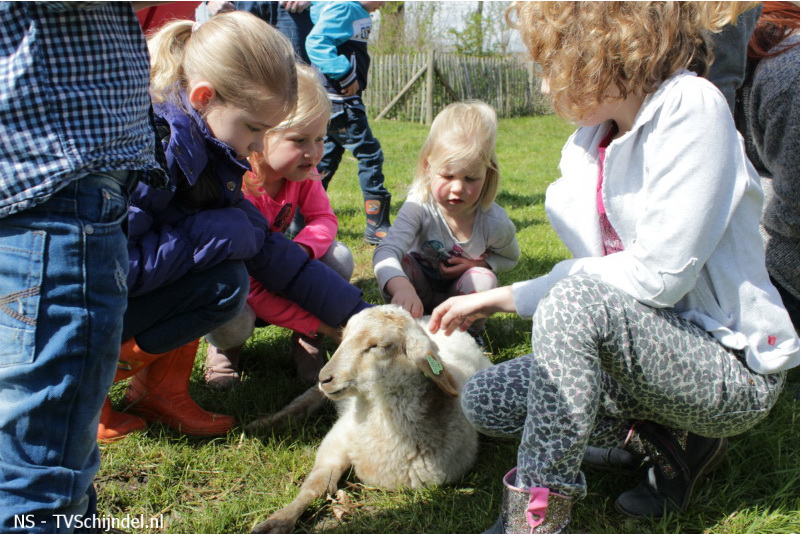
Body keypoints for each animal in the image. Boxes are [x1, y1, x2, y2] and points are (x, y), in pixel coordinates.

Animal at [250, 306, 490, 534]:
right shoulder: (336, 440)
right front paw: (279, 520)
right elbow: (317, 485)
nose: (324, 378)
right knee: (305, 400)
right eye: (343, 337)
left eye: (379, 346)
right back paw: (265, 424)